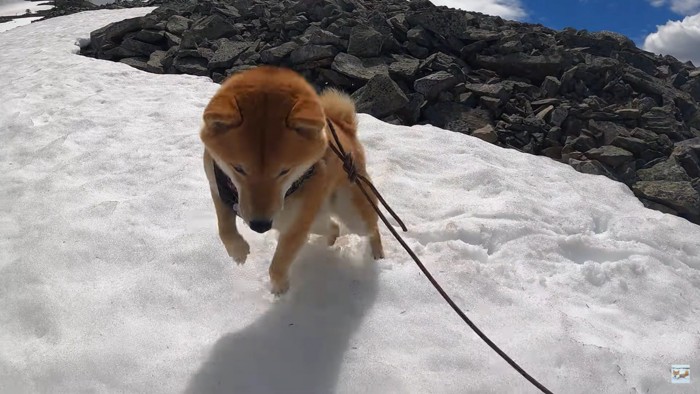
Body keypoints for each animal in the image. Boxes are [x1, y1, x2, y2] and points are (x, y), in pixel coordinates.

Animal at [200, 66, 386, 294]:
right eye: (238, 168)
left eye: (284, 171)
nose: (260, 226)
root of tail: (346, 129)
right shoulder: (218, 187)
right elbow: (224, 230)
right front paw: (238, 251)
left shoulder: (294, 226)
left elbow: (280, 262)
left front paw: (280, 287)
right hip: (313, 220)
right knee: (334, 227)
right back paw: (329, 242)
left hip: (350, 214)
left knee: (371, 227)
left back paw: (378, 255)